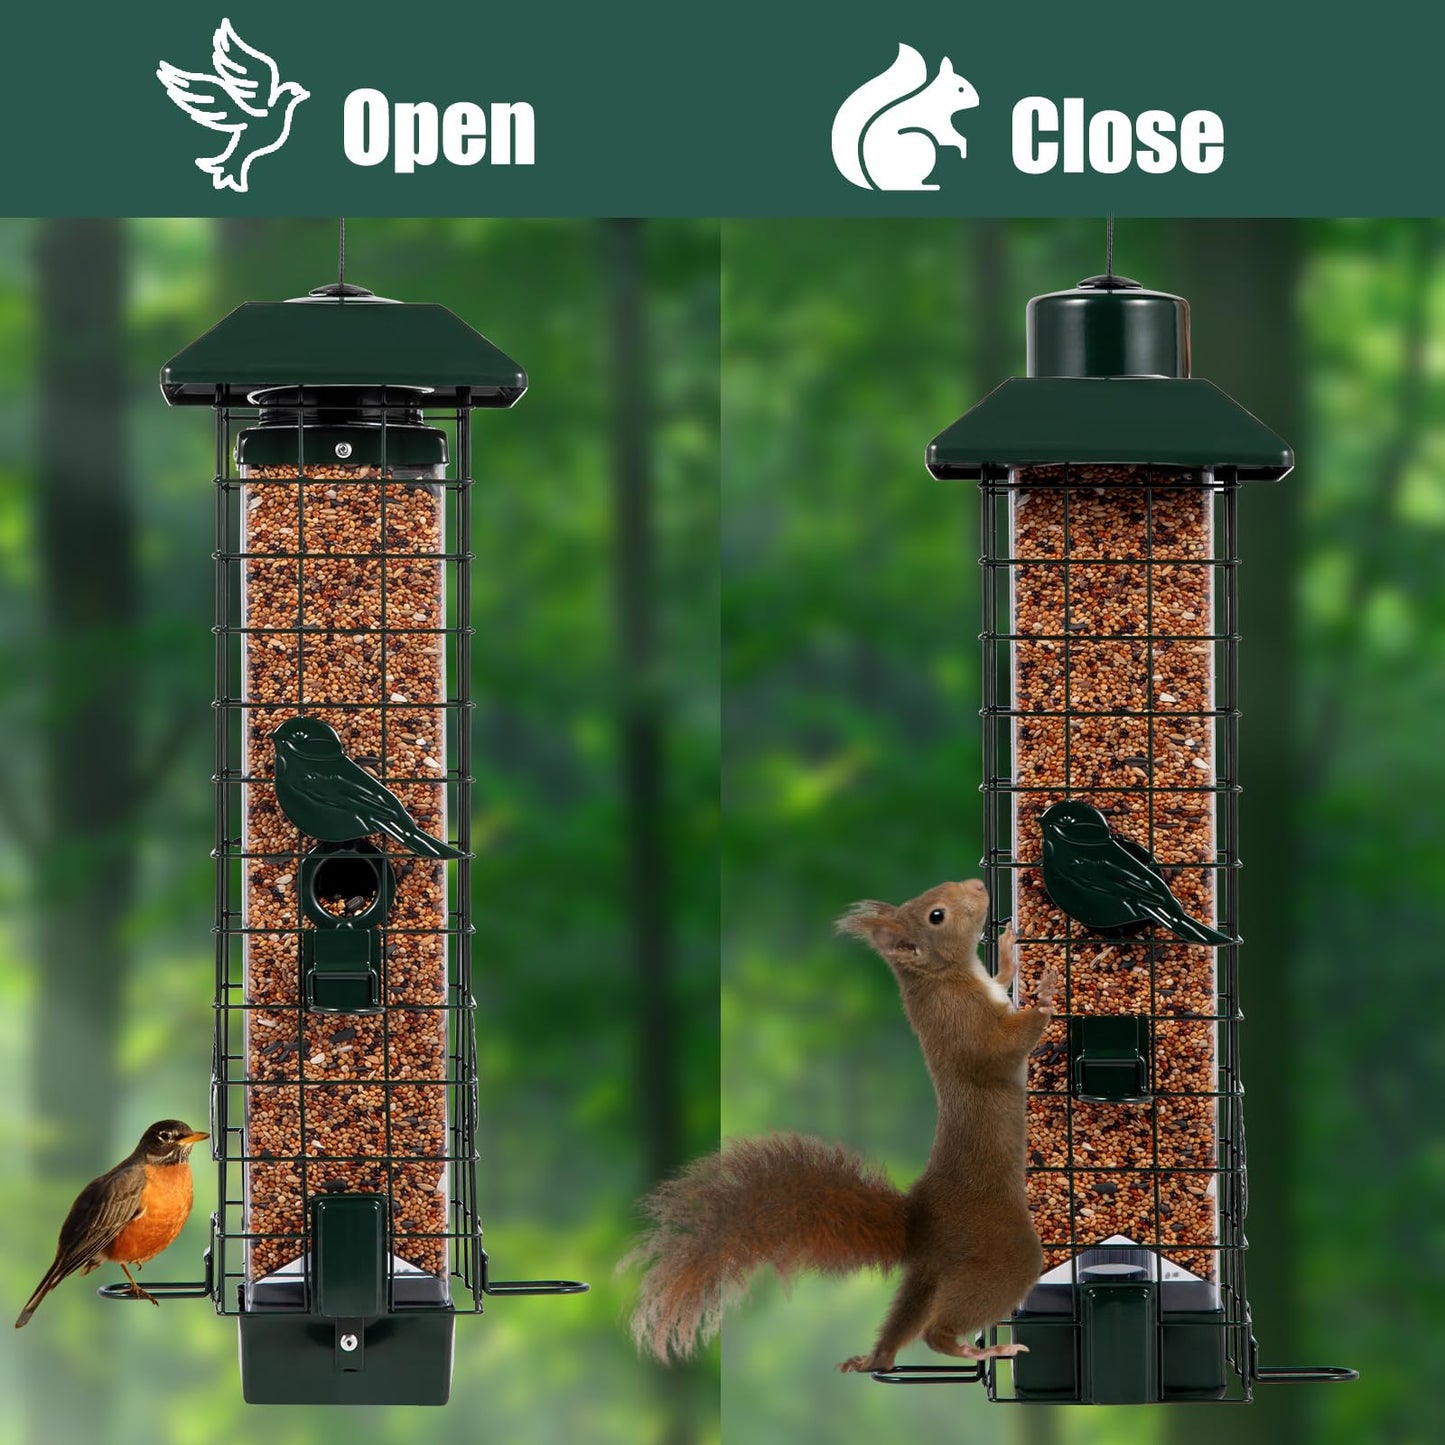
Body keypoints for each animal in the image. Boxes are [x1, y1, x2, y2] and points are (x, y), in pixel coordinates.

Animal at [625, 878, 1059, 1373]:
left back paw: (874, 1359)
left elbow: (1001, 984)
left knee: (904, 1322)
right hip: (1002, 1254)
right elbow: (999, 1052)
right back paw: (979, 1347)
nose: (978, 885)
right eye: (937, 915)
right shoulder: (964, 1028)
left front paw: (1007, 953)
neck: (945, 976)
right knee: (937, 1330)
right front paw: (1046, 997)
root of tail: (919, 1224)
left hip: (929, 1274)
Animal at [830, 44, 980, 192]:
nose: (978, 101)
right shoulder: (938, 122)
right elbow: (949, 137)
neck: (936, 100)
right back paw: (928, 186)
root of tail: (882, 185)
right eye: (961, 89)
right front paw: (963, 148)